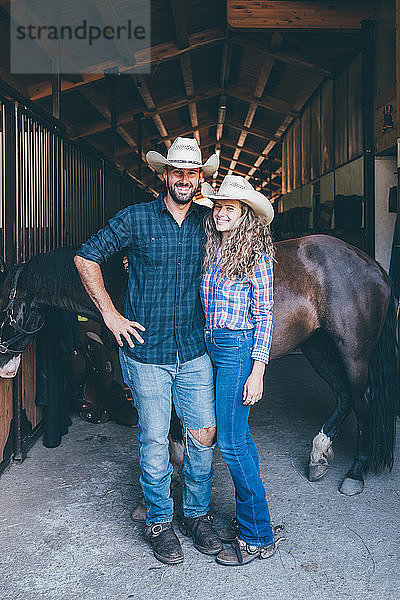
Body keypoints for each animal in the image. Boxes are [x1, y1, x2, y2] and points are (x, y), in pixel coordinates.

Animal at [0, 236, 396, 496]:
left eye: (4, 308)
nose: (5, 366)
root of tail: (373, 266)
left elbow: (174, 427)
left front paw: (174, 476)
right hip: (318, 346)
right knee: (344, 398)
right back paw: (318, 456)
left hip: (352, 352)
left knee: (362, 402)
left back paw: (354, 474)